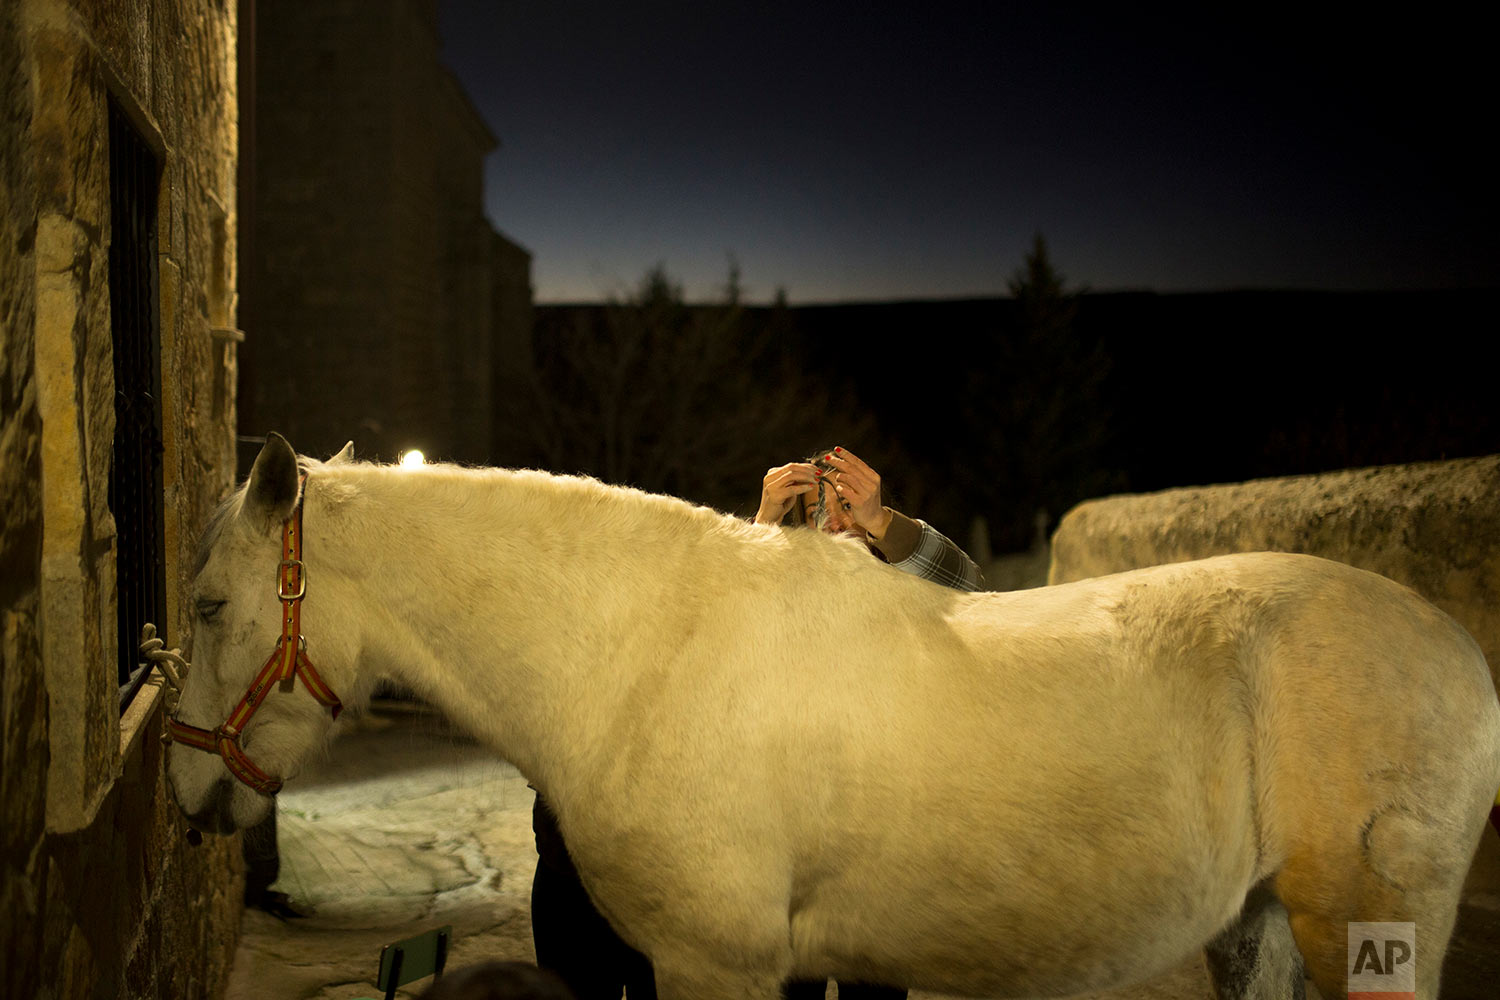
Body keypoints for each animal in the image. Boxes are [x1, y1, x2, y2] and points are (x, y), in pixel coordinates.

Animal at [167, 437, 1500, 1000]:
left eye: (210, 601)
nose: (185, 787)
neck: (641, 652)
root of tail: (1451, 646)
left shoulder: (715, 965)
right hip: (1257, 926)